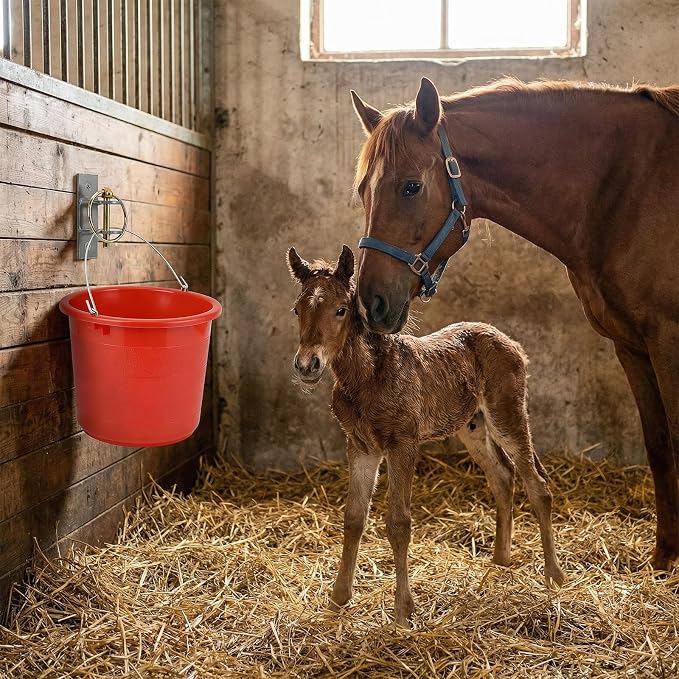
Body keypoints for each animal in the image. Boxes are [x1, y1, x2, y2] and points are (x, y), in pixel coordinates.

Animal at [288, 244, 565, 627]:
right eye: (297, 310)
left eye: (341, 309)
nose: (307, 365)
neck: (368, 376)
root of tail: (511, 343)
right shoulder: (360, 446)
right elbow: (354, 517)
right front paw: (338, 599)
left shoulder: (402, 444)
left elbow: (399, 523)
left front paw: (404, 611)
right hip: (472, 424)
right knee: (502, 476)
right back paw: (500, 561)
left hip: (506, 413)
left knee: (536, 484)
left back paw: (554, 575)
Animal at [350, 77, 679, 570]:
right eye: (362, 192)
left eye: (410, 187)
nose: (370, 303)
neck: (626, 188)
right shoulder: (632, 345)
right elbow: (659, 444)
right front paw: (663, 559)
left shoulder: (668, 340)